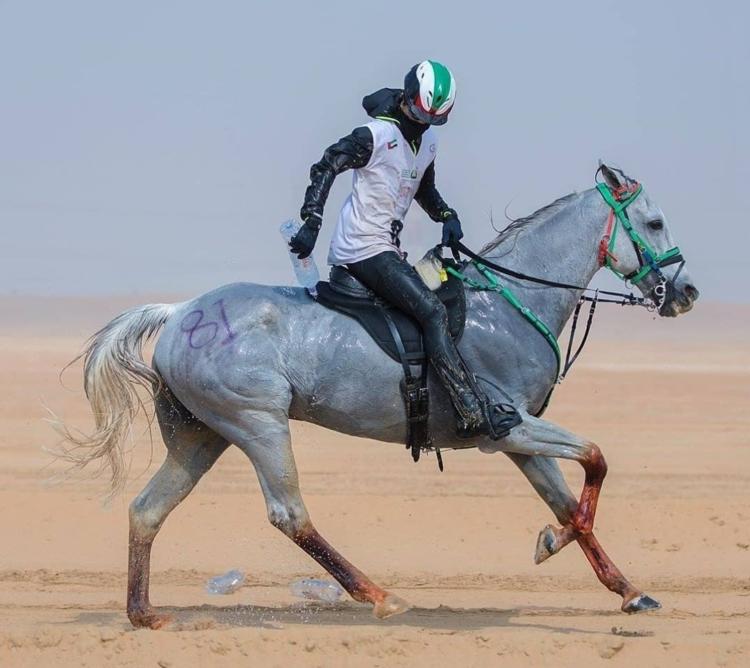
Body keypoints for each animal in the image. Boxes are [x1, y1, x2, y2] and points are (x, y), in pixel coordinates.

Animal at [56, 164, 698, 628]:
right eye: (655, 222)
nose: (686, 292)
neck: (511, 303)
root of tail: (180, 313)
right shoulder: (507, 429)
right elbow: (596, 458)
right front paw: (551, 544)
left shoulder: (519, 439)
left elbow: (570, 503)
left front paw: (626, 588)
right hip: (258, 424)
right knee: (290, 514)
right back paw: (379, 595)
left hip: (202, 436)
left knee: (148, 509)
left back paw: (146, 616)